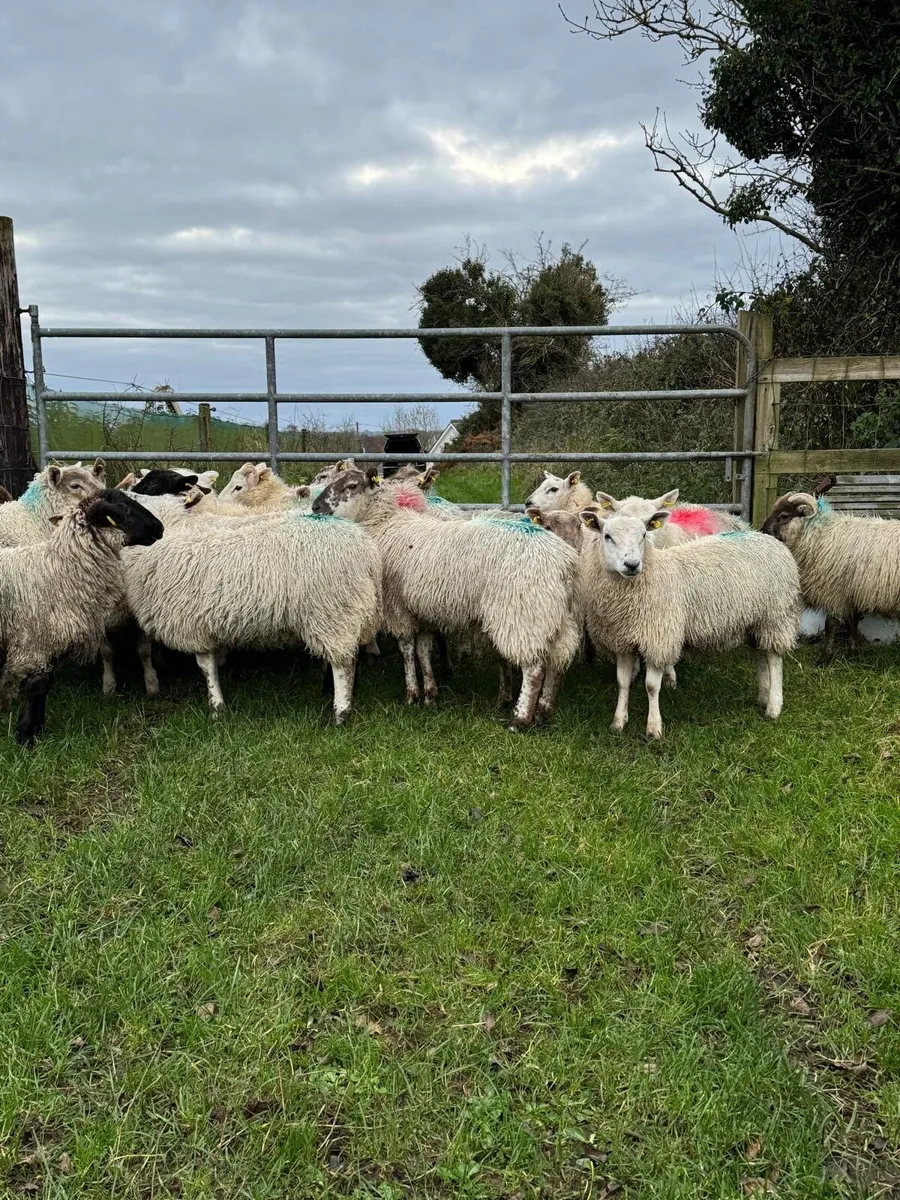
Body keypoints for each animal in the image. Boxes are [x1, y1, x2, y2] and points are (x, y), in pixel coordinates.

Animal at [0, 490, 164, 744]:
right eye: (126, 510)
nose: (160, 528)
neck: (57, 571)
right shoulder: (34, 644)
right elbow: (37, 687)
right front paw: (26, 736)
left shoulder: (49, 643)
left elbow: (45, 685)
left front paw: (38, 729)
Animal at [122, 511, 381, 724]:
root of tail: (367, 553)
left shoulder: (194, 628)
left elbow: (206, 668)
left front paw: (216, 707)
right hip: (346, 613)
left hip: (332, 611)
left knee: (343, 665)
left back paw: (340, 712)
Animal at [312, 468, 581, 728]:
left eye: (351, 486)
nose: (315, 507)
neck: (386, 522)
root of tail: (564, 563)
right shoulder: (421, 610)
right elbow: (423, 650)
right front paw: (430, 694)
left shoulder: (398, 607)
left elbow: (407, 649)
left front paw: (412, 695)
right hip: (557, 618)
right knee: (556, 664)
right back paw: (544, 712)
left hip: (523, 613)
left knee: (534, 668)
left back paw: (520, 720)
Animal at [579, 509, 800, 739]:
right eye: (607, 536)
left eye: (643, 535)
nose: (632, 564)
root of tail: (768, 539)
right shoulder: (622, 640)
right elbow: (622, 682)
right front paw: (618, 722)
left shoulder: (659, 639)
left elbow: (651, 687)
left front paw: (654, 728)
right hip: (755, 622)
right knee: (760, 656)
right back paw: (763, 696)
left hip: (775, 617)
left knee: (774, 659)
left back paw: (773, 707)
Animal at [761, 491, 900, 663]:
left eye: (783, 516)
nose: (762, 532)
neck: (818, 535)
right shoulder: (848, 594)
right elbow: (851, 623)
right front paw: (854, 653)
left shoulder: (834, 593)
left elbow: (831, 625)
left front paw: (825, 658)